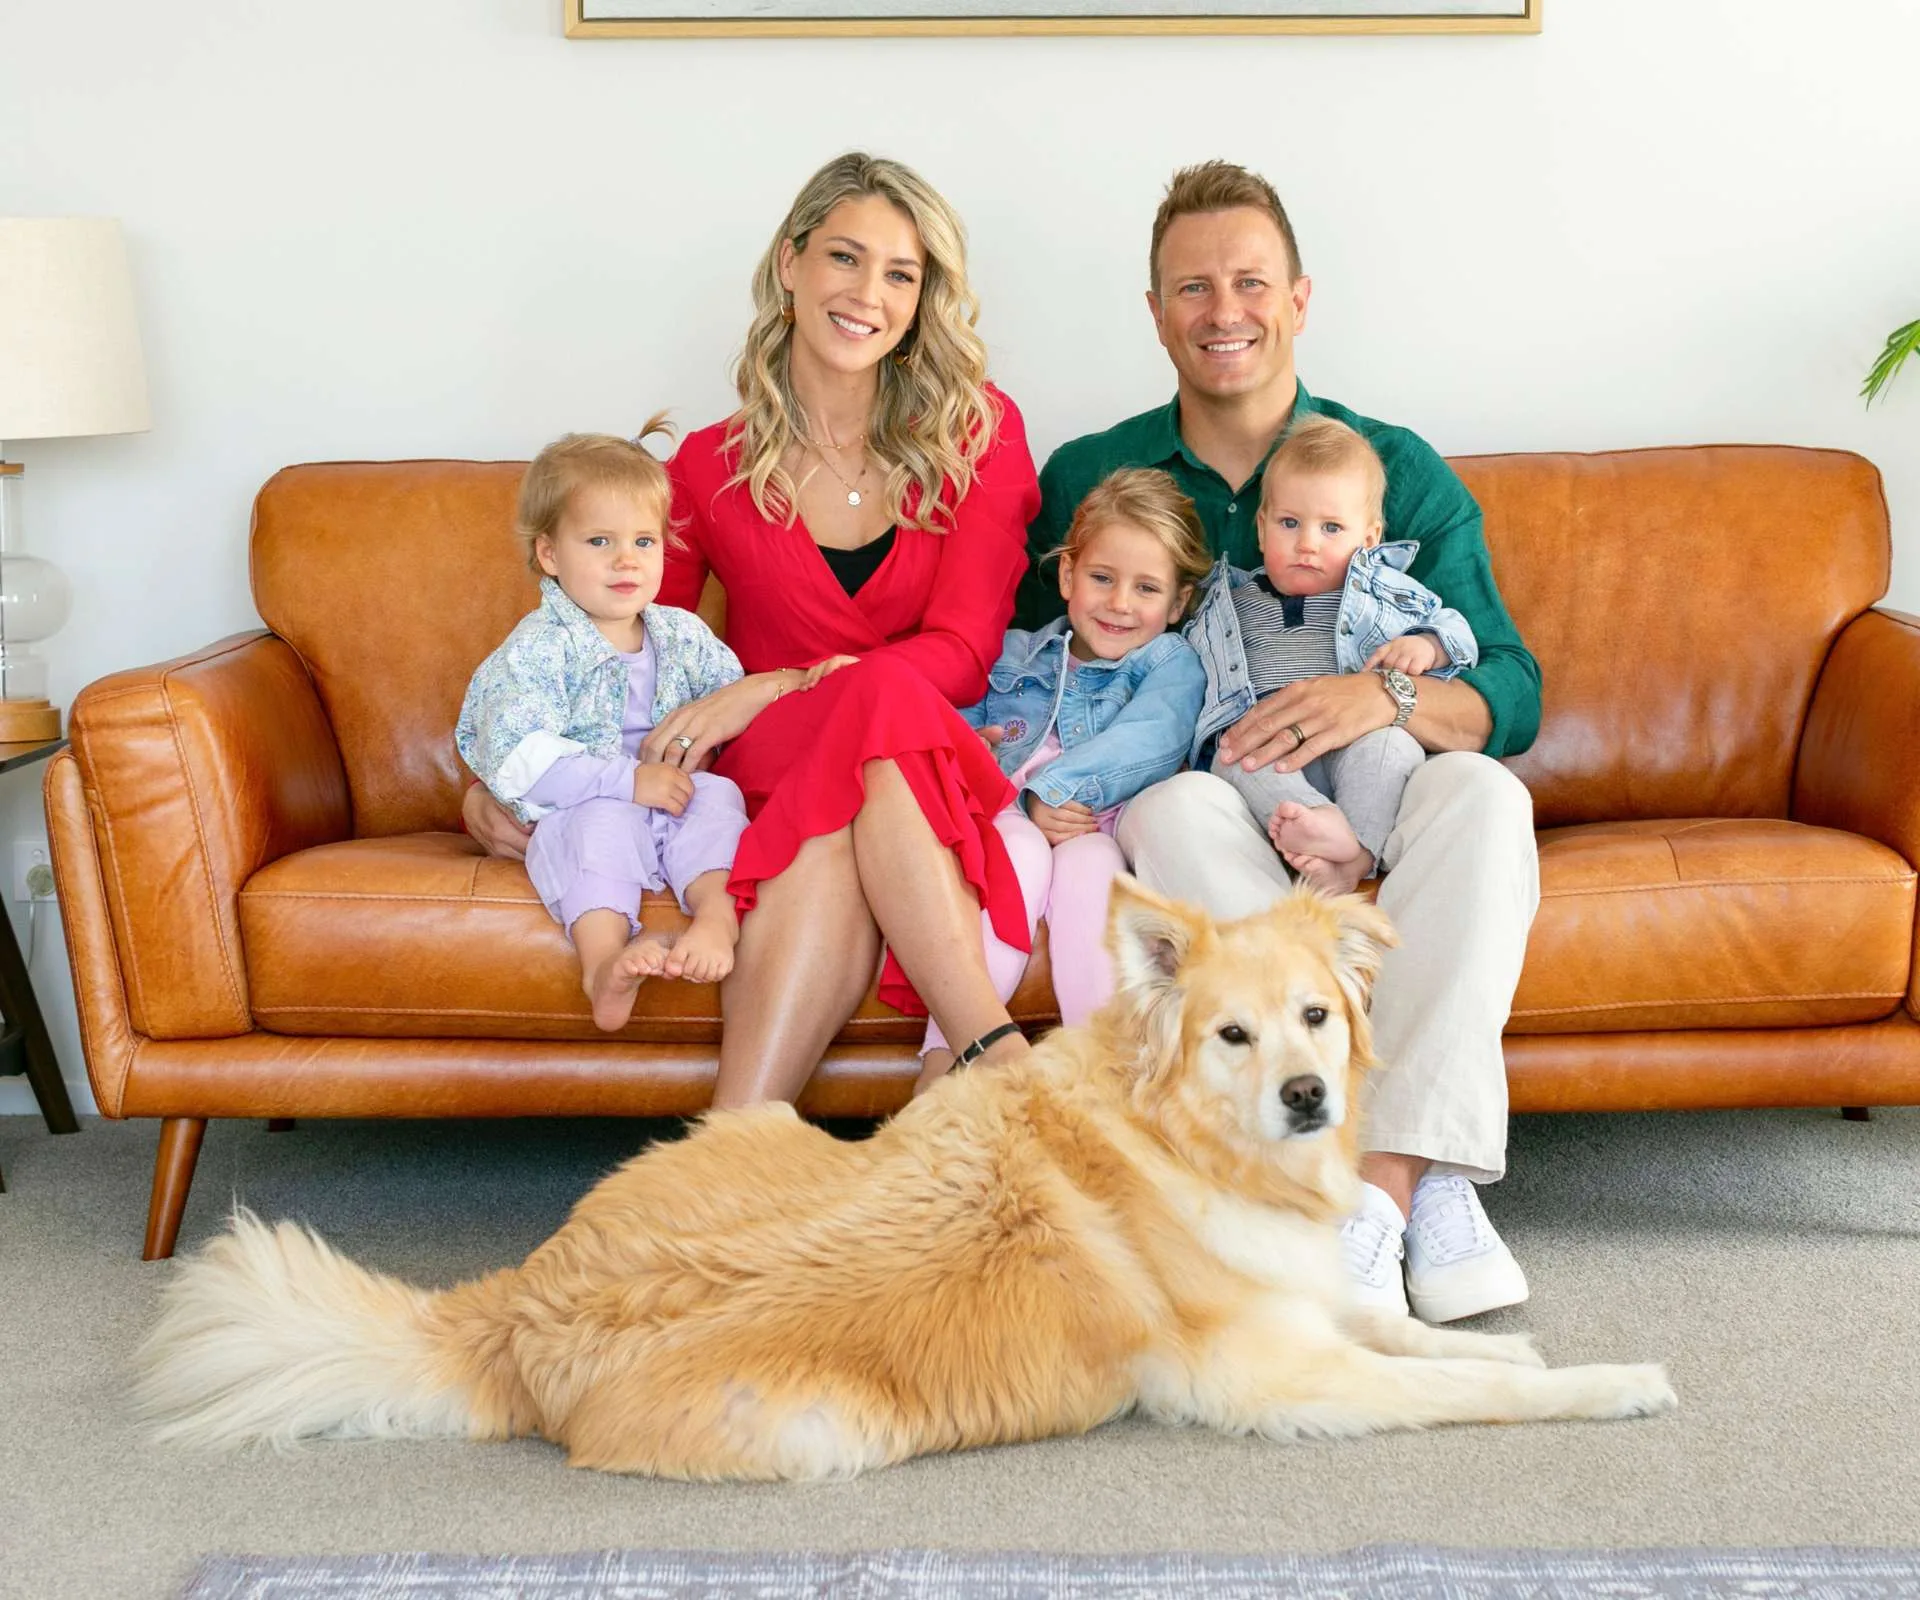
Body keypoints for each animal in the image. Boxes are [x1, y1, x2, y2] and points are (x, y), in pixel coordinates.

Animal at [135, 879, 1674, 1482]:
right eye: (1232, 1035)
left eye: (1313, 1018)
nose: (1309, 1097)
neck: (1183, 1136)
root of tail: (517, 1309)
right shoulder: (1275, 1377)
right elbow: (1454, 1387)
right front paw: (1600, 1384)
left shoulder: (1299, 1293)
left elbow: (1397, 1321)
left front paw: (1506, 1335)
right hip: (828, 1426)